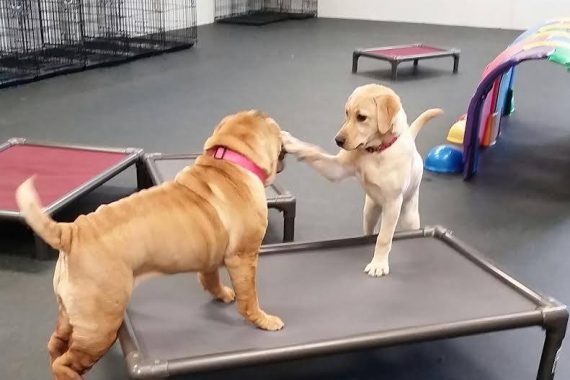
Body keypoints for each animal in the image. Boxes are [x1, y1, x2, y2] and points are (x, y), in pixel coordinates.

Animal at [16, 110, 286, 380]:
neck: (229, 160)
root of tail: (71, 233)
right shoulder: (244, 257)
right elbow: (249, 298)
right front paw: (263, 320)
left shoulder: (210, 254)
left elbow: (210, 279)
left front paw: (221, 294)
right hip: (100, 327)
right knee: (66, 363)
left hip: (70, 314)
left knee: (55, 346)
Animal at [282, 84, 442, 276]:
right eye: (347, 113)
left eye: (361, 117)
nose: (337, 140)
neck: (376, 151)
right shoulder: (336, 169)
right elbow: (313, 151)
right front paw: (292, 143)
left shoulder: (393, 203)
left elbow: (384, 238)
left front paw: (378, 264)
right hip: (369, 211)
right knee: (369, 232)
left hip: (408, 217)